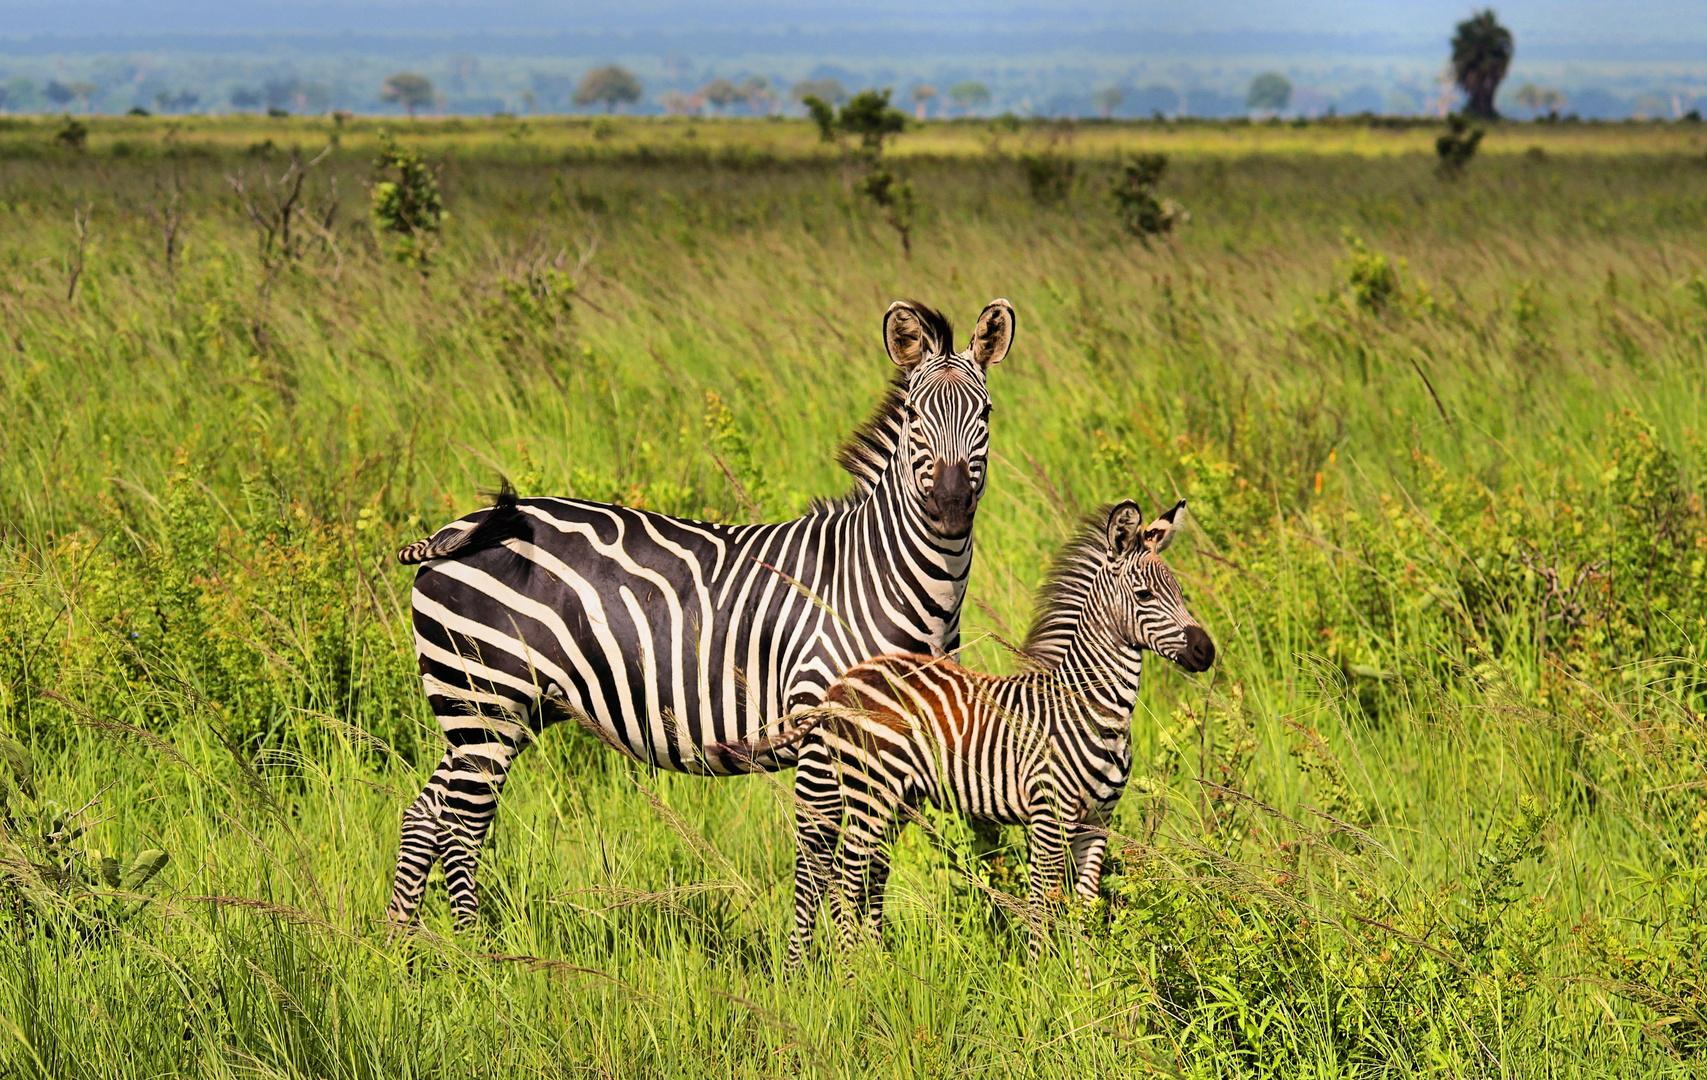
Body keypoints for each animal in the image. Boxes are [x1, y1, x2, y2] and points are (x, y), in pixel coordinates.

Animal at [387, 295, 1010, 928]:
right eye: (913, 417)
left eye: (985, 413)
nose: (952, 507)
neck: (892, 578)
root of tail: (457, 528)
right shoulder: (819, 731)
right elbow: (818, 861)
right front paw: (813, 957)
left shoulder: (899, 746)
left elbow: (871, 868)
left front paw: (870, 952)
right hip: (484, 701)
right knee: (460, 831)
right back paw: (474, 947)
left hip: (492, 712)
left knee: (423, 817)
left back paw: (406, 946)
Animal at [747, 498, 1215, 962]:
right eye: (1145, 595)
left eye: (1180, 592)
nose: (1206, 651)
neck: (1093, 710)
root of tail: (843, 680)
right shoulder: (1048, 816)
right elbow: (1041, 907)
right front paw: (1040, 978)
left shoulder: (1097, 822)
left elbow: (1083, 913)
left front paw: (1085, 980)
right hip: (868, 791)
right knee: (846, 881)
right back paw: (853, 974)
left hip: (895, 798)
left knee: (858, 878)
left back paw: (875, 968)